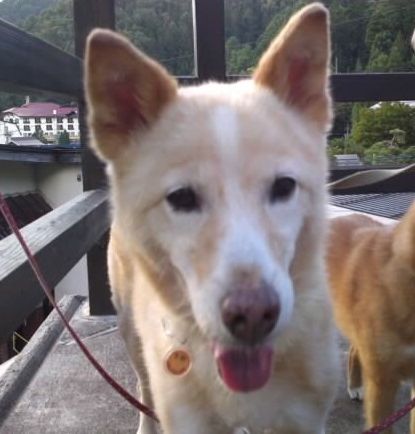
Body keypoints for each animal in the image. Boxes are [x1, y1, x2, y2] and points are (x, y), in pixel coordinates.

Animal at [84, 3, 339, 433]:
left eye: (284, 187)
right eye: (182, 198)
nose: (252, 315)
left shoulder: (303, 418)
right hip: (128, 329)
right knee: (142, 385)